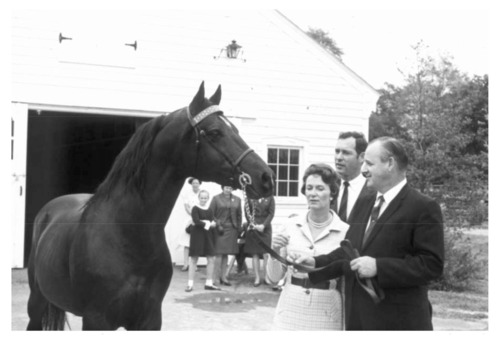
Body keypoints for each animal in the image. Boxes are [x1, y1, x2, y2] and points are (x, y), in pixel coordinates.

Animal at [26, 81, 278, 330]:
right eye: (215, 132)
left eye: (235, 129)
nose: (266, 177)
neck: (127, 233)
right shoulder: (96, 320)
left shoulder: (150, 318)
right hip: (36, 303)